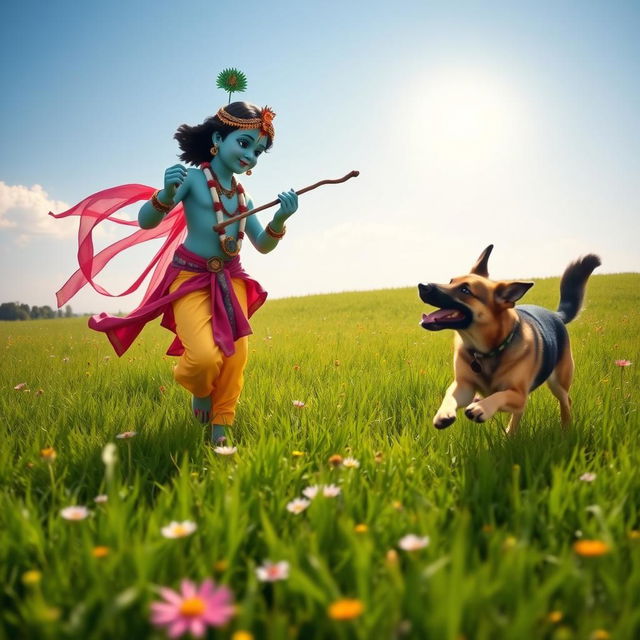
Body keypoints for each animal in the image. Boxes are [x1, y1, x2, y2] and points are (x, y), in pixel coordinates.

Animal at [420, 245, 600, 436]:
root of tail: (556, 315)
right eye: (451, 281)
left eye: (465, 291)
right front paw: (443, 413)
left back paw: (565, 428)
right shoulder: (464, 385)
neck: (487, 349)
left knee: (565, 401)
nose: (422, 286)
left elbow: (501, 395)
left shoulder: (519, 394)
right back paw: (510, 432)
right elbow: (450, 395)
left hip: (558, 383)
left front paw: (482, 408)